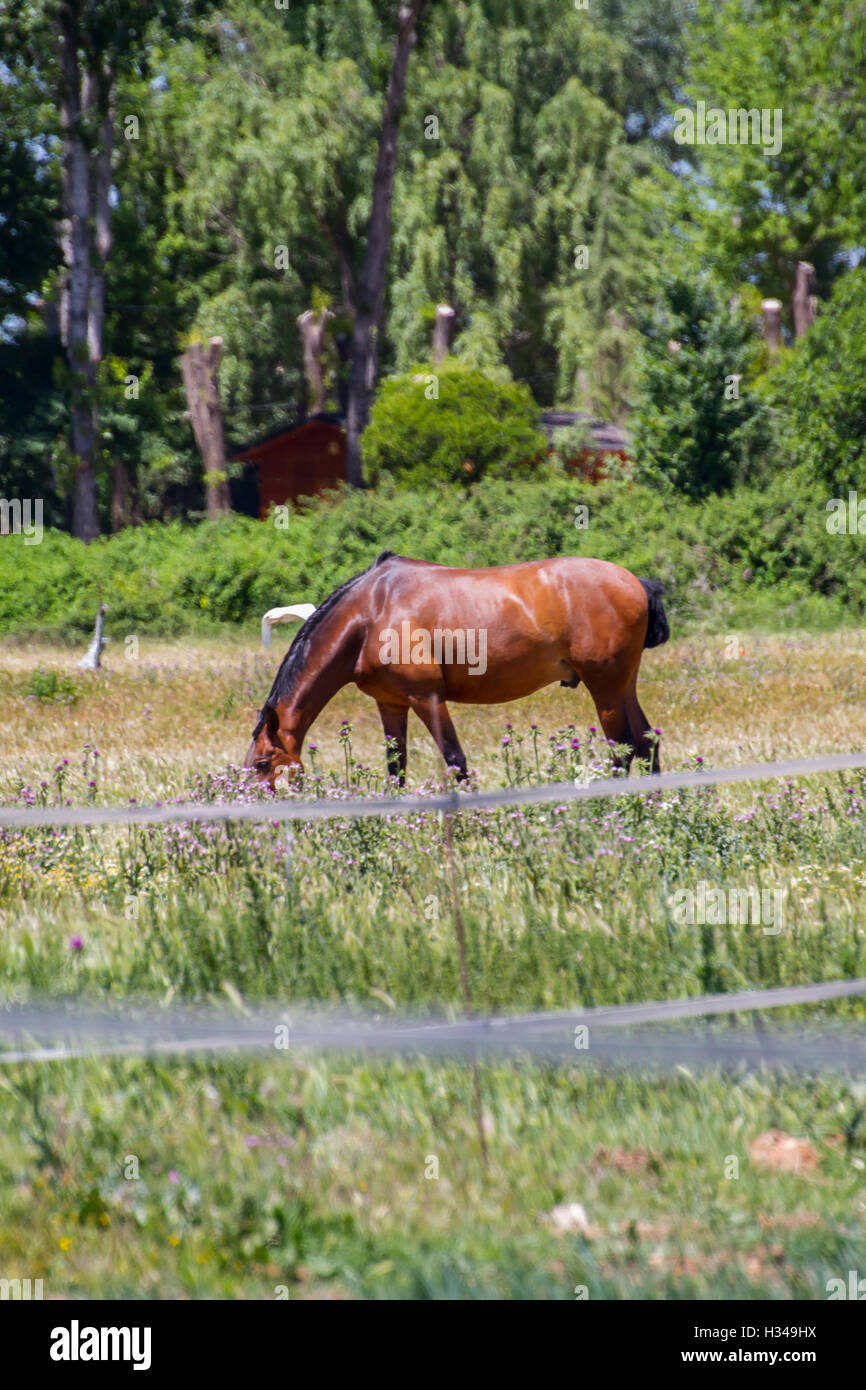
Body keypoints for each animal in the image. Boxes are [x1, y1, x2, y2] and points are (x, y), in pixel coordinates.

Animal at [245, 551, 669, 786]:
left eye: (264, 764)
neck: (371, 613)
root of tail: (635, 582)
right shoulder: (392, 704)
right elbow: (396, 768)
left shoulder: (427, 698)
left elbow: (456, 761)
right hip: (622, 686)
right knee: (647, 742)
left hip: (606, 689)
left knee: (624, 750)